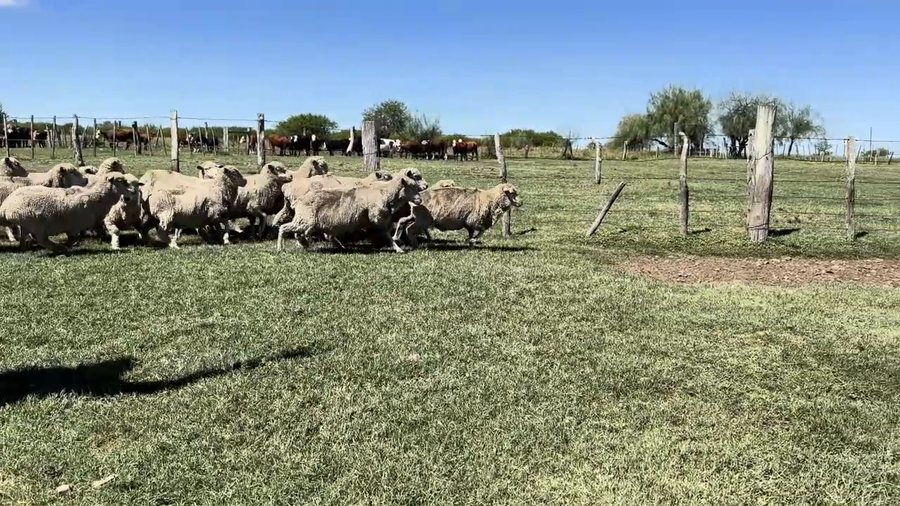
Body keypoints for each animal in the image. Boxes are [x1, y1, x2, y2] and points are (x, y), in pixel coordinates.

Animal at [0, 173, 137, 253]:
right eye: (120, 180)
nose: (133, 191)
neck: (97, 196)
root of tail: (5, 206)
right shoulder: (74, 225)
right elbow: (74, 238)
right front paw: (68, 245)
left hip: (26, 224)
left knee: (24, 237)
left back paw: (25, 247)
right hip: (35, 223)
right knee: (42, 239)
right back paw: (59, 248)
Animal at [277, 174, 424, 253]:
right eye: (411, 187)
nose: (420, 200)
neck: (384, 193)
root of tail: (298, 201)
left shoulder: (370, 222)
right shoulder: (377, 218)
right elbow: (387, 235)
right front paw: (398, 248)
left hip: (306, 221)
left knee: (298, 233)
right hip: (305, 221)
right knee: (283, 228)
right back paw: (280, 248)